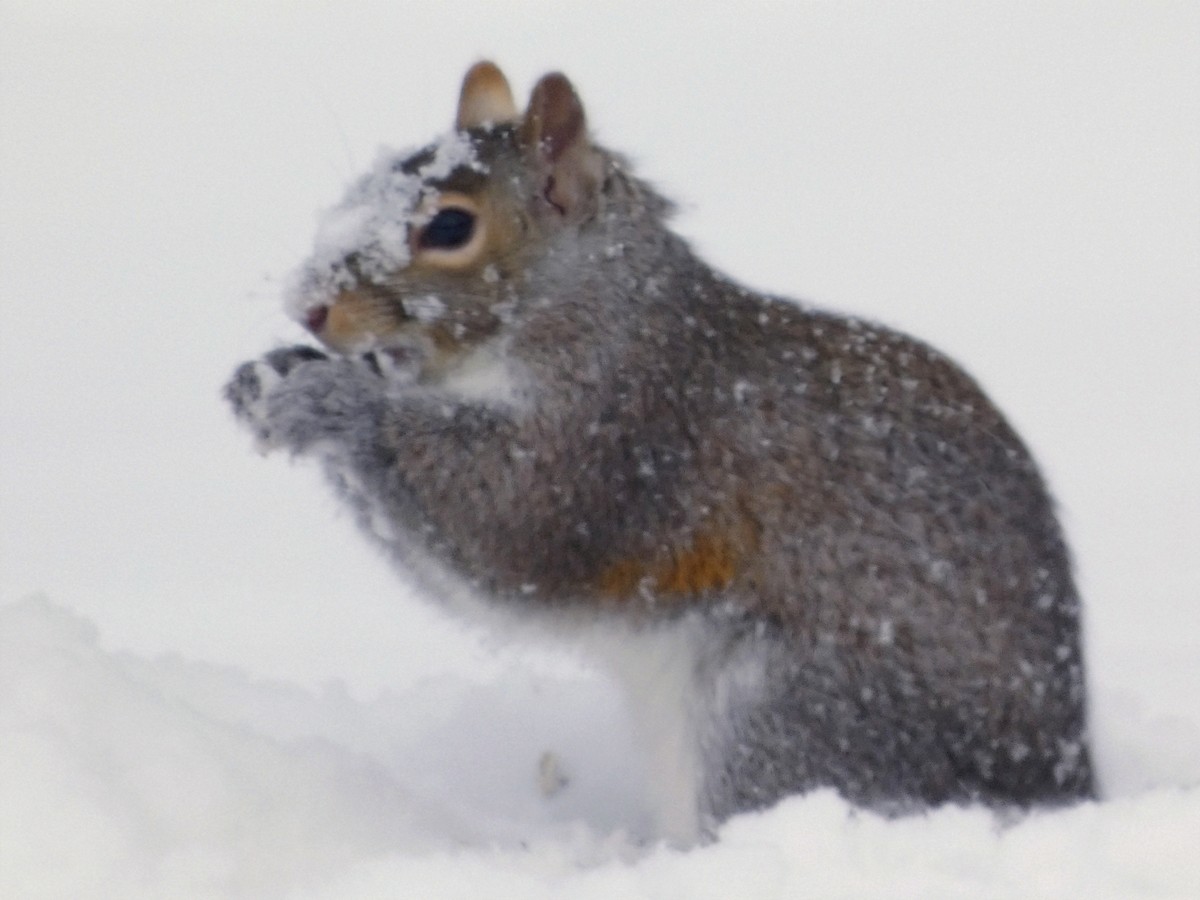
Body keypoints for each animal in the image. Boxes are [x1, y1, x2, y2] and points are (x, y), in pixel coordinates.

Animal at [226, 61, 1093, 843]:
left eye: (448, 227)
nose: (308, 308)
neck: (592, 310)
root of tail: (1060, 787)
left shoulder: (616, 435)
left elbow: (504, 528)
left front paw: (332, 400)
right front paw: (267, 375)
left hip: (782, 717)